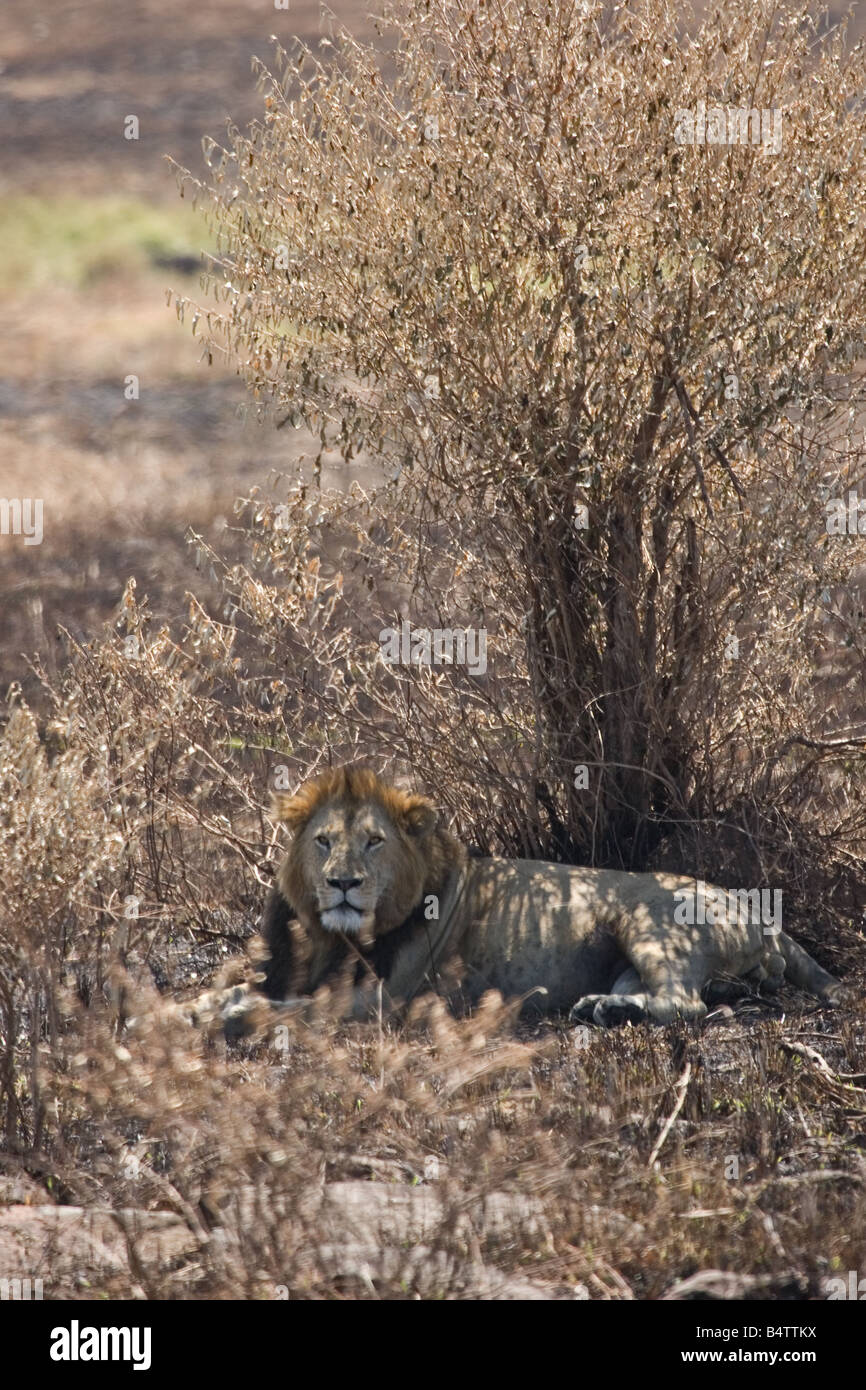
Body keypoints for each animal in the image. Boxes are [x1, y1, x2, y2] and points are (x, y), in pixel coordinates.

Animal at [235, 764, 844, 1030]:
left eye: (373, 842)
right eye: (324, 841)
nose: (343, 883)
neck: (337, 933)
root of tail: (760, 909)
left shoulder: (394, 998)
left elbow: (309, 1006)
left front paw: (237, 1012)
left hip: (648, 921)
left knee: (687, 1004)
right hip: (631, 959)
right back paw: (605, 1008)